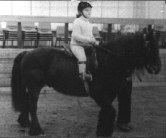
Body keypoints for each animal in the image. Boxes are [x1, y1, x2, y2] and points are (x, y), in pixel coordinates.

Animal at [10, 29, 161, 137]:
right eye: (149, 47)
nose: (157, 68)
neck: (108, 60)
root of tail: (27, 53)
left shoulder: (109, 93)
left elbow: (106, 111)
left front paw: (102, 130)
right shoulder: (98, 94)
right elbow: (110, 111)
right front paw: (104, 132)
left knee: (26, 103)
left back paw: (25, 122)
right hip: (34, 87)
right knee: (32, 106)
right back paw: (36, 130)